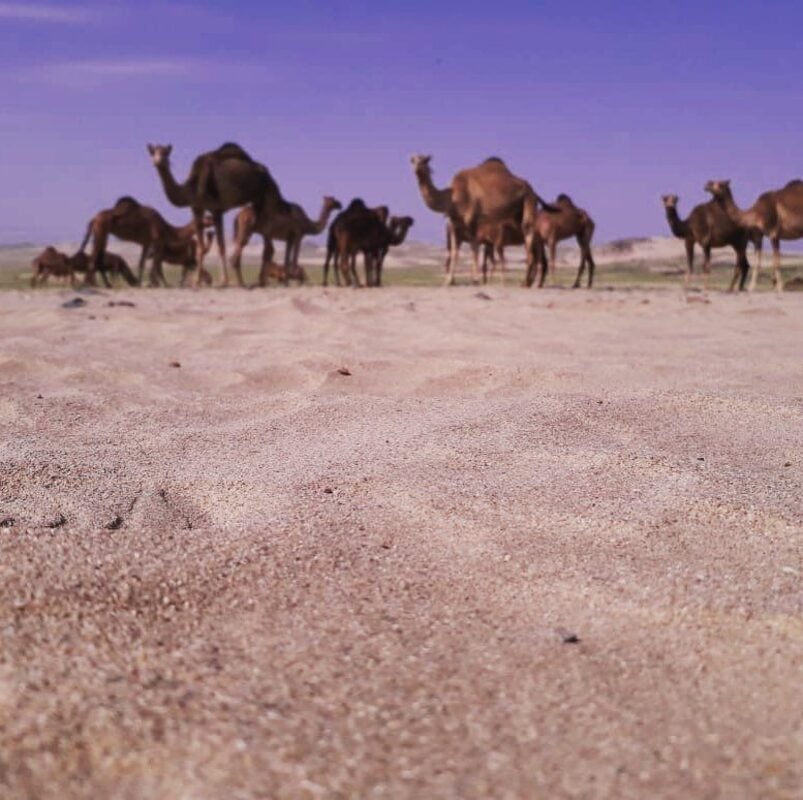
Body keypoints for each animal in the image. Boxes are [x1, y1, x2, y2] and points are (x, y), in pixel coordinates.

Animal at [148, 142, 289, 287]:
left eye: (165, 152)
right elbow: (201, 247)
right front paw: (197, 282)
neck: (192, 188)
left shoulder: (216, 209)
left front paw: (223, 281)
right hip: (257, 202)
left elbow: (221, 245)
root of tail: (268, 174)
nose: (157, 162)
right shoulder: (196, 209)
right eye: (152, 152)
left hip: (268, 194)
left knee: (268, 238)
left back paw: (261, 282)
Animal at [410, 154, 553, 285]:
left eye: (425, 160)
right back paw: (528, 281)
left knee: (528, 233)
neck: (452, 197)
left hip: (528, 201)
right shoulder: (454, 223)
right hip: (517, 212)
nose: (417, 168)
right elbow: (455, 252)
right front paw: (449, 281)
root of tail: (533, 190)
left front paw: (475, 279)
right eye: (413, 160)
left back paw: (526, 282)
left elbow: (474, 249)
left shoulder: (472, 219)